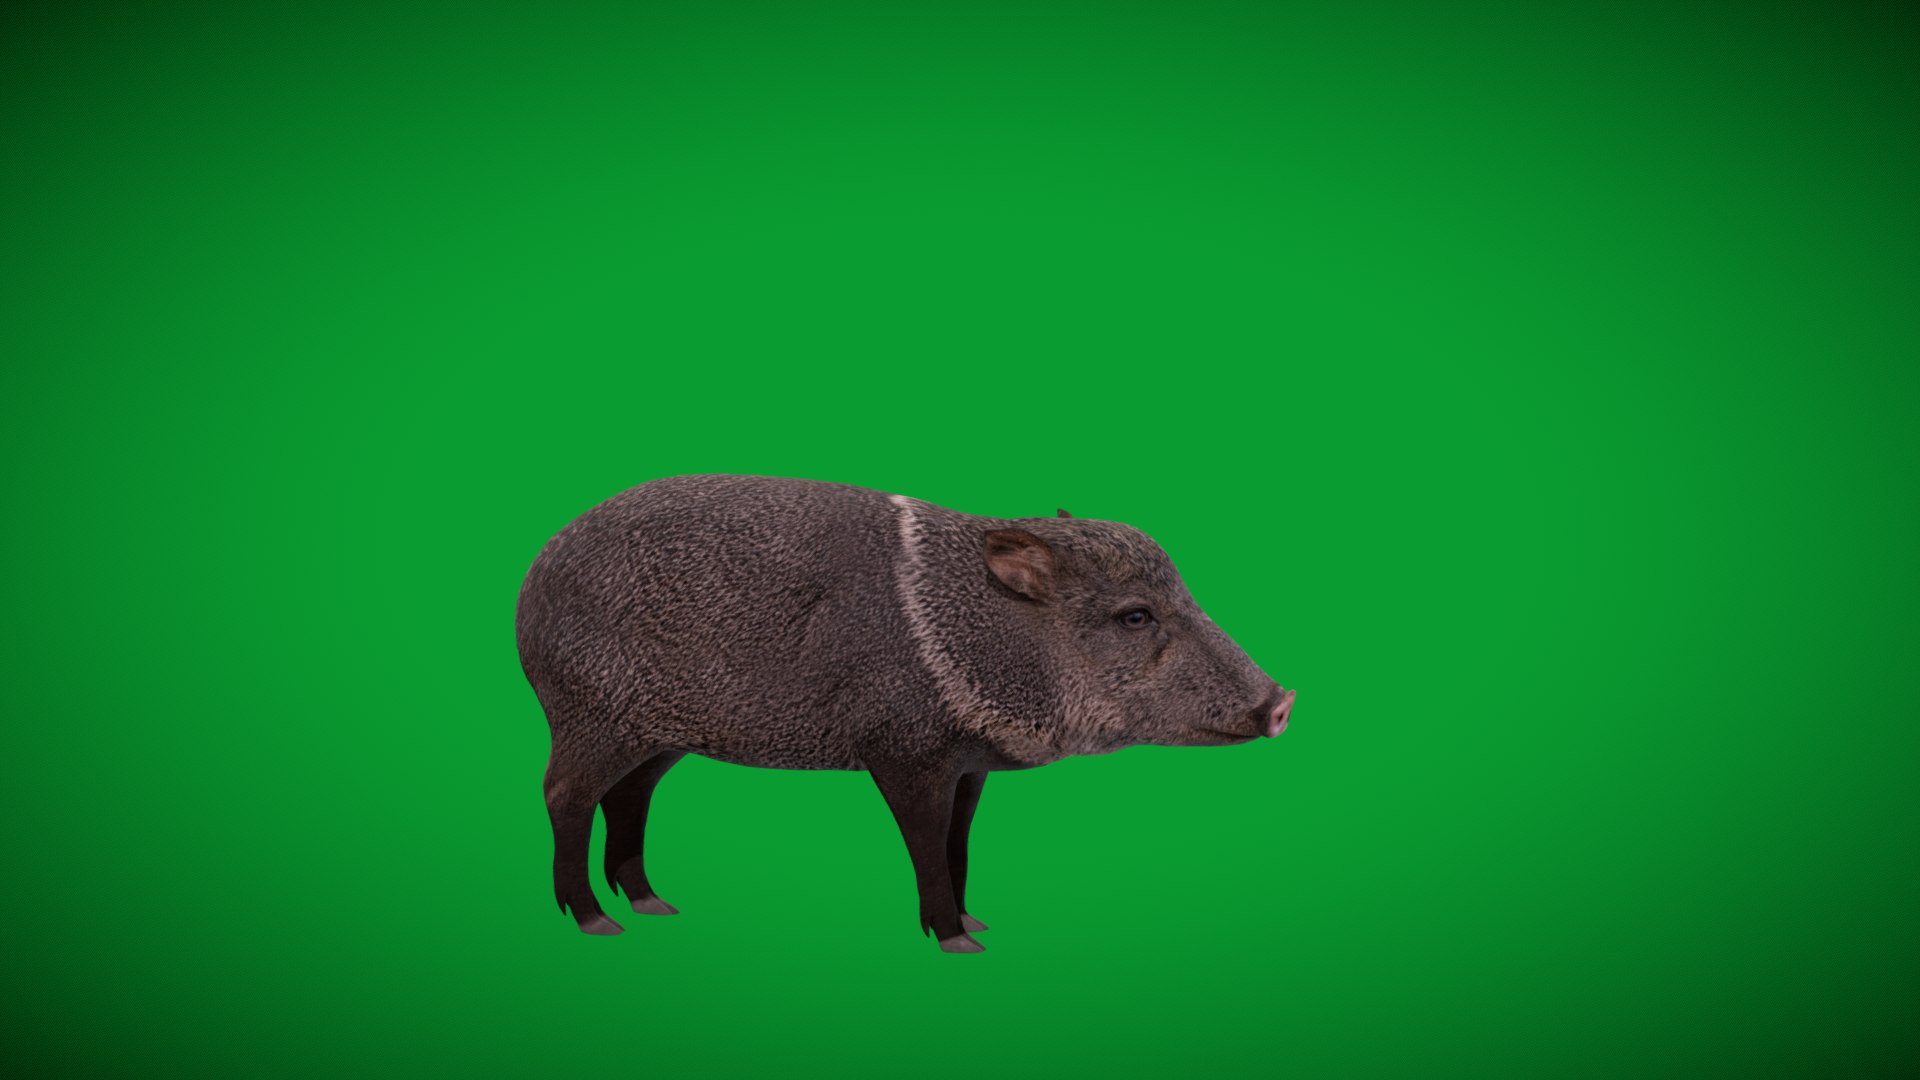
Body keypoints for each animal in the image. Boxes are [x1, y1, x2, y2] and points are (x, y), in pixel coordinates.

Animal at [515, 474, 1294, 953]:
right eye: (1135, 616)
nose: (1283, 702)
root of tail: (532, 578)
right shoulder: (902, 753)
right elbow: (925, 843)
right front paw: (956, 938)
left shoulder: (970, 766)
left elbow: (959, 841)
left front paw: (975, 919)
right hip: (593, 717)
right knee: (564, 796)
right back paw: (595, 920)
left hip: (660, 737)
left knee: (628, 799)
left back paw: (652, 903)